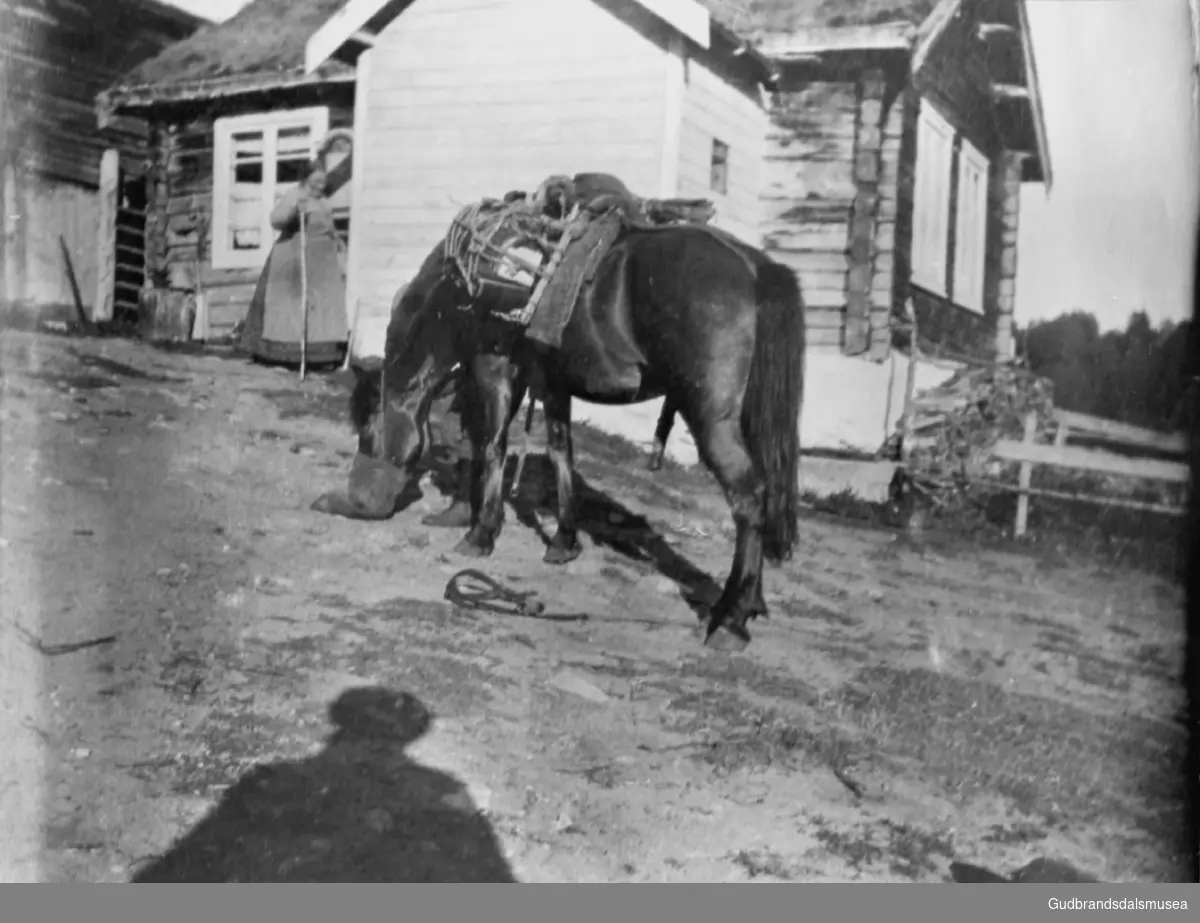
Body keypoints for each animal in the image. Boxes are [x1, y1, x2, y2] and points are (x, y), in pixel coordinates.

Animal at [345, 216, 806, 648]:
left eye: (368, 431)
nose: (357, 502)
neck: (469, 285)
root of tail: (754, 267)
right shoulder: (552, 381)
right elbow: (560, 451)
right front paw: (563, 541)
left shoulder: (495, 367)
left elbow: (492, 443)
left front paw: (480, 532)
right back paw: (751, 600)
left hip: (712, 419)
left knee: (749, 499)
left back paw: (731, 619)